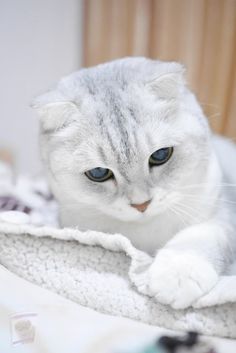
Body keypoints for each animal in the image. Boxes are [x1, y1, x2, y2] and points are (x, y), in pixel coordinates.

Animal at [31, 57, 236, 308]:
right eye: (98, 173)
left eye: (160, 155)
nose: (141, 204)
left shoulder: (224, 213)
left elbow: (202, 236)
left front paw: (178, 273)